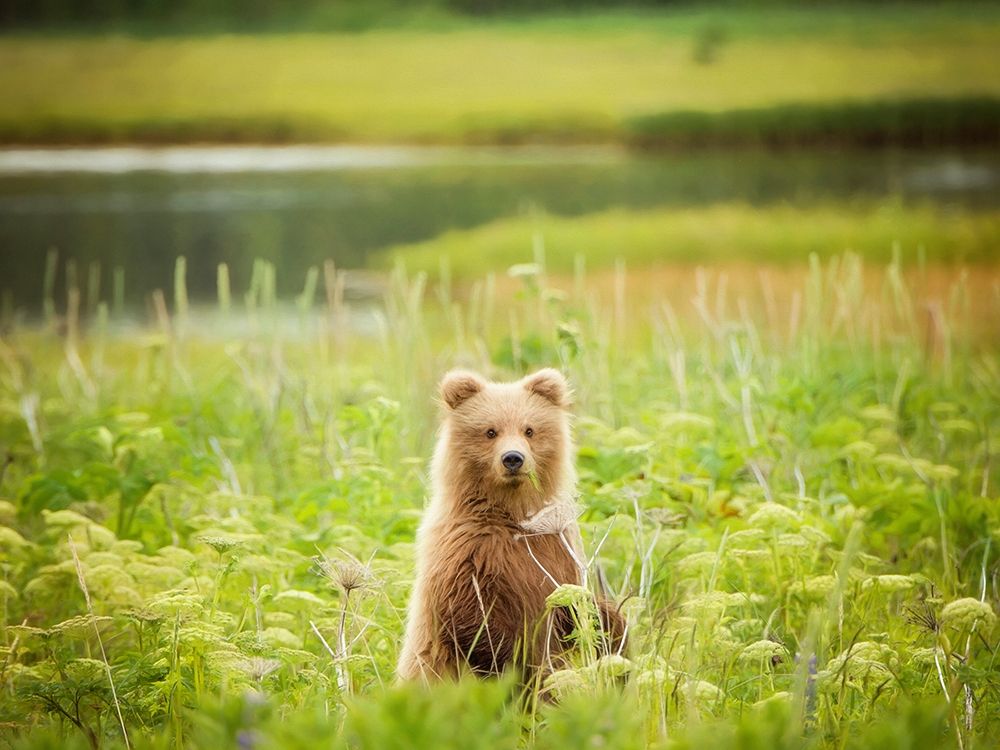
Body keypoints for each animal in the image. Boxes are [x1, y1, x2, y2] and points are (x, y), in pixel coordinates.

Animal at [397, 367, 624, 684]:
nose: (513, 458)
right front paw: (514, 666)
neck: (513, 515)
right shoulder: (467, 551)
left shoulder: (556, 547)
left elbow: (571, 603)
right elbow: (474, 621)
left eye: (529, 429)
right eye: (490, 431)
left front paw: (607, 623)